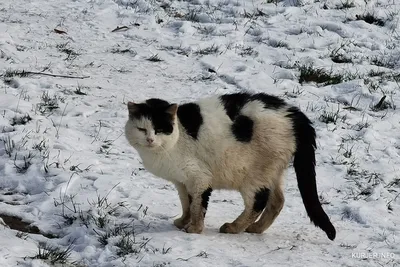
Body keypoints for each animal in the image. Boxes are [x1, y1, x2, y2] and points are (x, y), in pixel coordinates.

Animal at [123, 93, 336, 242]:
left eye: (159, 129)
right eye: (142, 129)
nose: (150, 139)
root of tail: (294, 114)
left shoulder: (199, 179)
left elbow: (197, 206)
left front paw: (194, 229)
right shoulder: (181, 182)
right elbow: (186, 204)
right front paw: (183, 221)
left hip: (253, 177)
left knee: (258, 202)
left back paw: (234, 227)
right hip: (271, 173)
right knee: (277, 201)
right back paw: (256, 229)